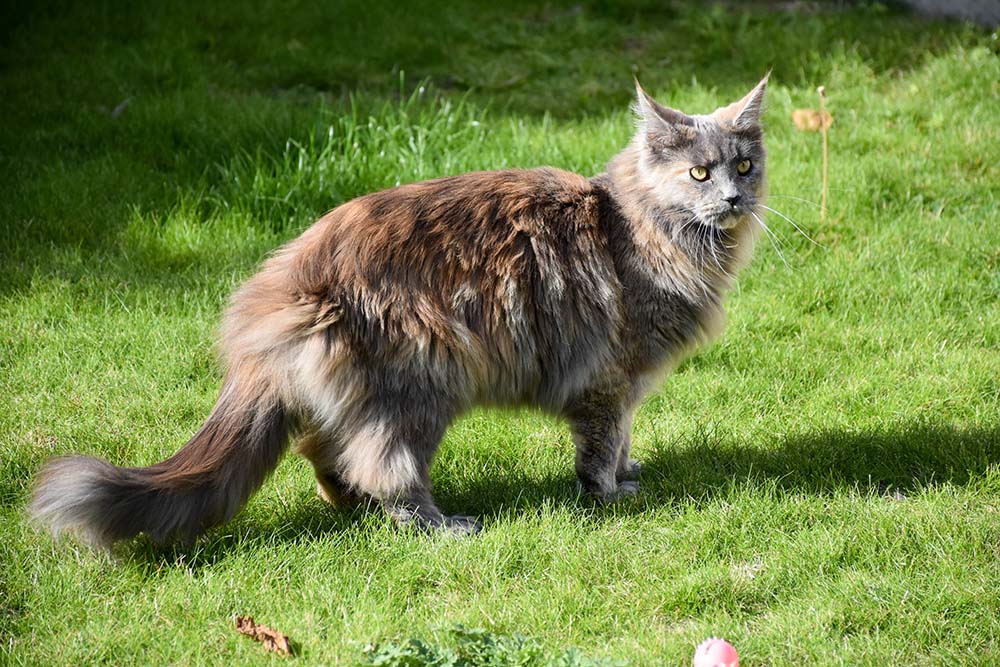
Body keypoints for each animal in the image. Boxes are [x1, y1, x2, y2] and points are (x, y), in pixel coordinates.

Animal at [29, 78, 764, 548]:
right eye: (700, 174)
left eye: (745, 166)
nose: (734, 198)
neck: (638, 227)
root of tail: (283, 281)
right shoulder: (611, 375)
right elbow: (605, 443)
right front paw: (610, 492)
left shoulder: (624, 383)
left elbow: (627, 437)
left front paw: (630, 473)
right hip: (422, 383)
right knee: (381, 467)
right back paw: (442, 527)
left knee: (325, 450)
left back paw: (349, 507)